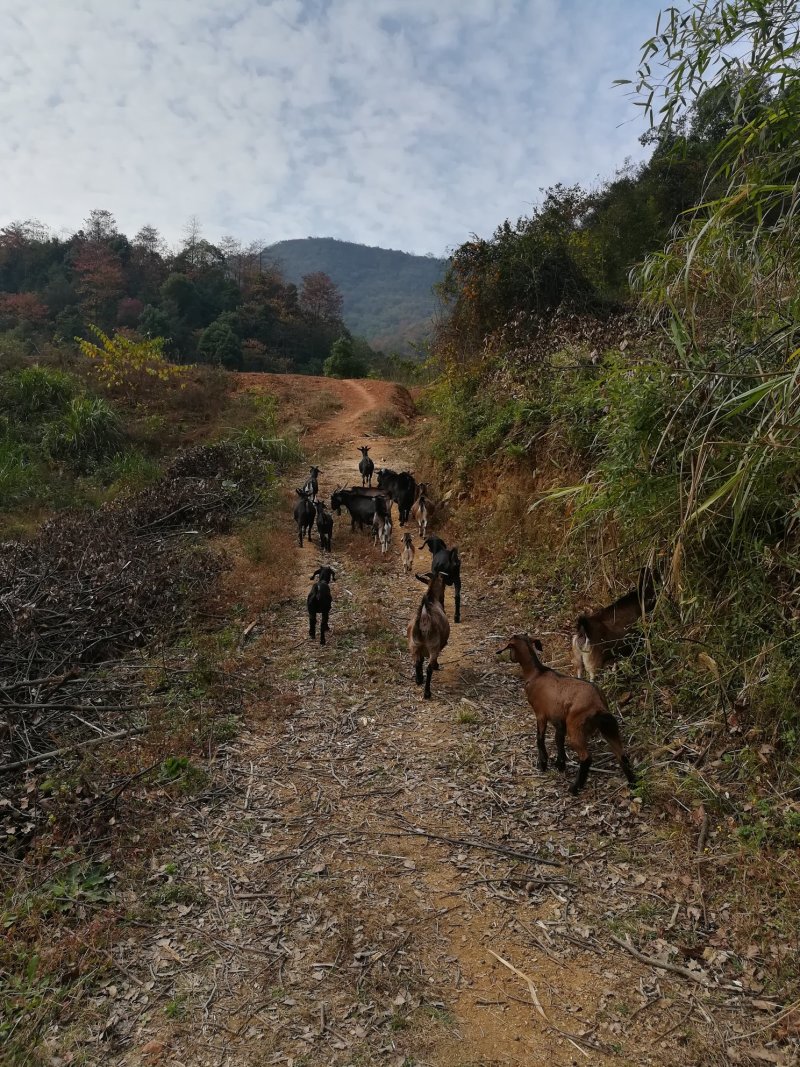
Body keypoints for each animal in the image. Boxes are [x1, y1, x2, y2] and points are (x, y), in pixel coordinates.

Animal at [499, 631, 635, 793]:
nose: (510, 658)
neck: (536, 673)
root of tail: (598, 704)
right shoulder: (559, 720)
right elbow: (559, 740)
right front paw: (560, 764)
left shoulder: (541, 714)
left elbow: (540, 738)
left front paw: (543, 763)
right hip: (608, 727)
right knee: (622, 755)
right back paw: (633, 783)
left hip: (575, 726)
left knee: (586, 757)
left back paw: (575, 788)